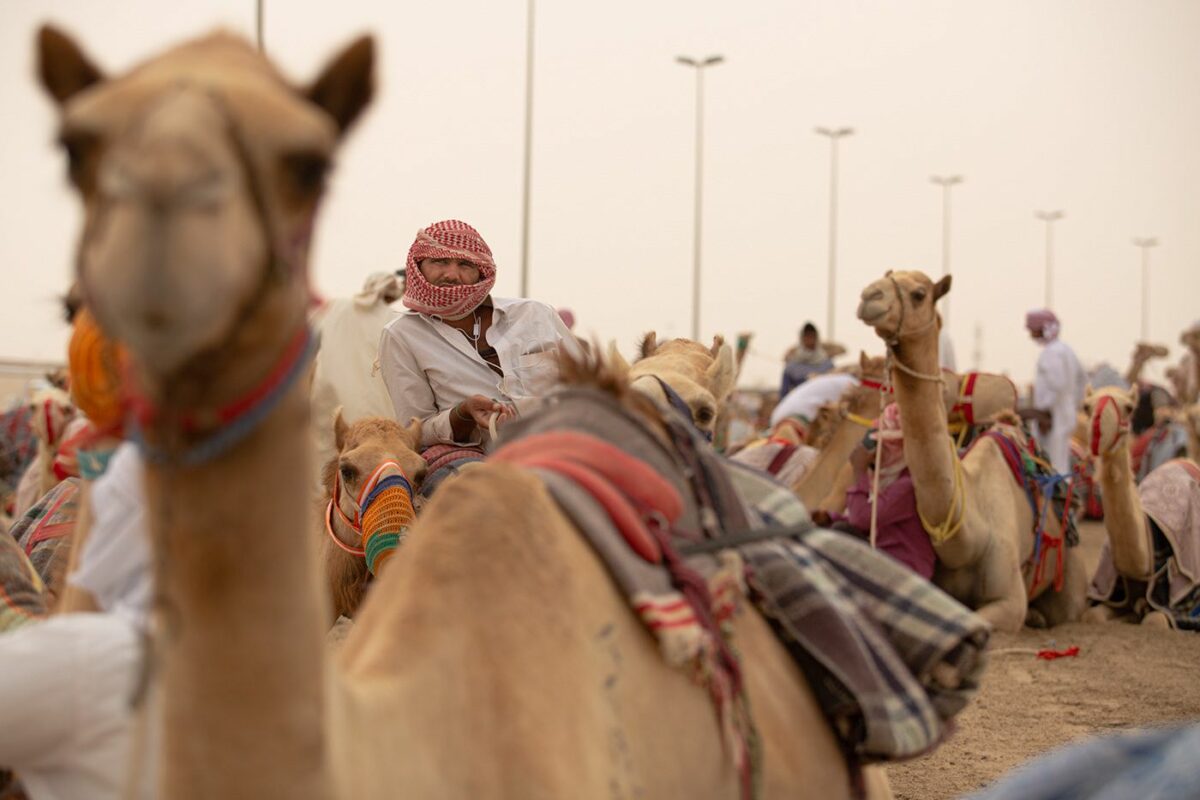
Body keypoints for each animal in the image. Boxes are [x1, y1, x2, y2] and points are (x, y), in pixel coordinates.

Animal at [857, 270, 1088, 631]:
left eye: (919, 293)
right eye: (884, 277)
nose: (870, 296)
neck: (970, 534)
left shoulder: (1009, 599)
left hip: (1071, 578)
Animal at [1081, 386, 1200, 628]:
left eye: (1129, 408)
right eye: (1086, 406)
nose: (1098, 431)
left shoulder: (1177, 603)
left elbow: (1154, 621)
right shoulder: (1116, 591)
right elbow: (1093, 615)